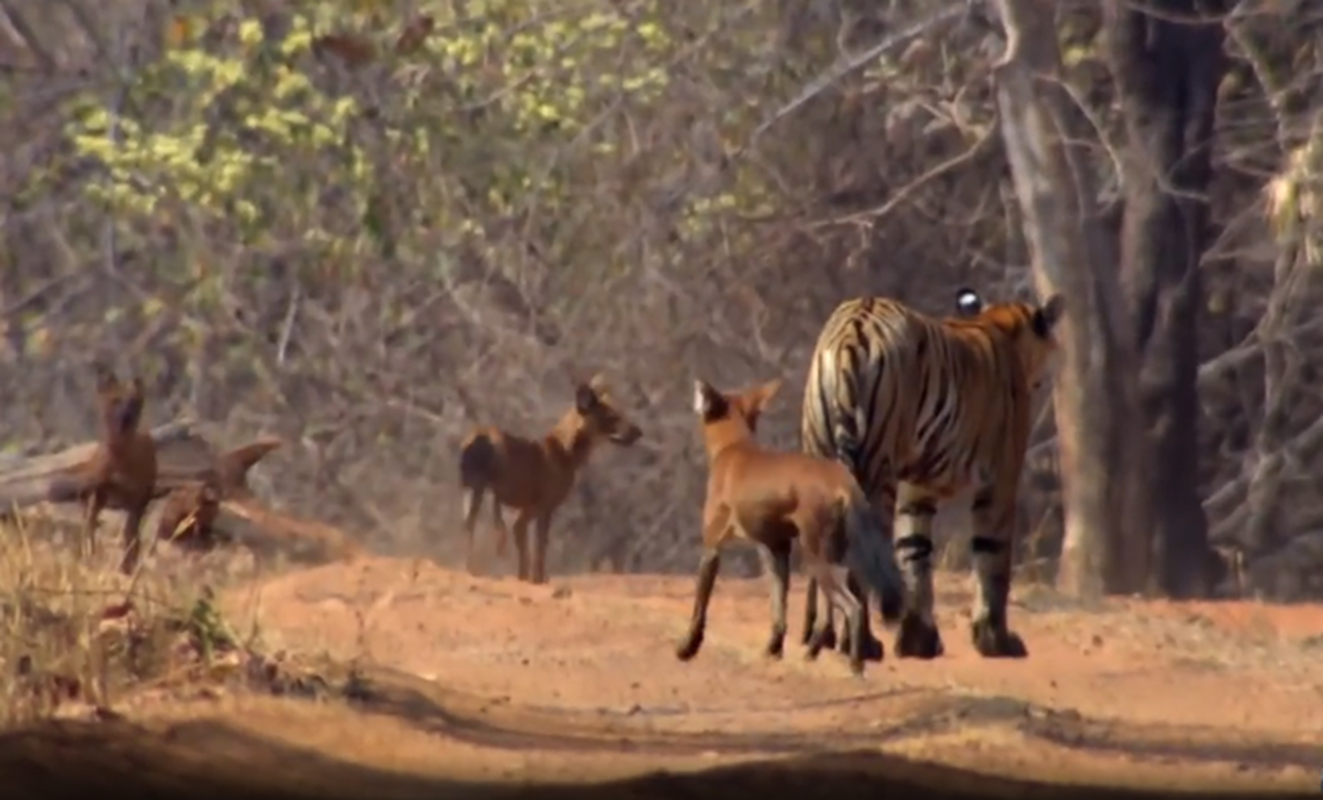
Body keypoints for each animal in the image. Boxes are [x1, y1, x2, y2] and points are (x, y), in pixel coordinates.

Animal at [793, 286, 1063, 661]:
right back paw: (862, 642)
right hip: (877, 470)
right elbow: (993, 559)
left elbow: (914, 551)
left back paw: (823, 636)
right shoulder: (1001, 479)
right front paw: (996, 640)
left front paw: (917, 640)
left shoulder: (915, 486)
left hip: (820, 452)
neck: (999, 325)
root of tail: (854, 328)